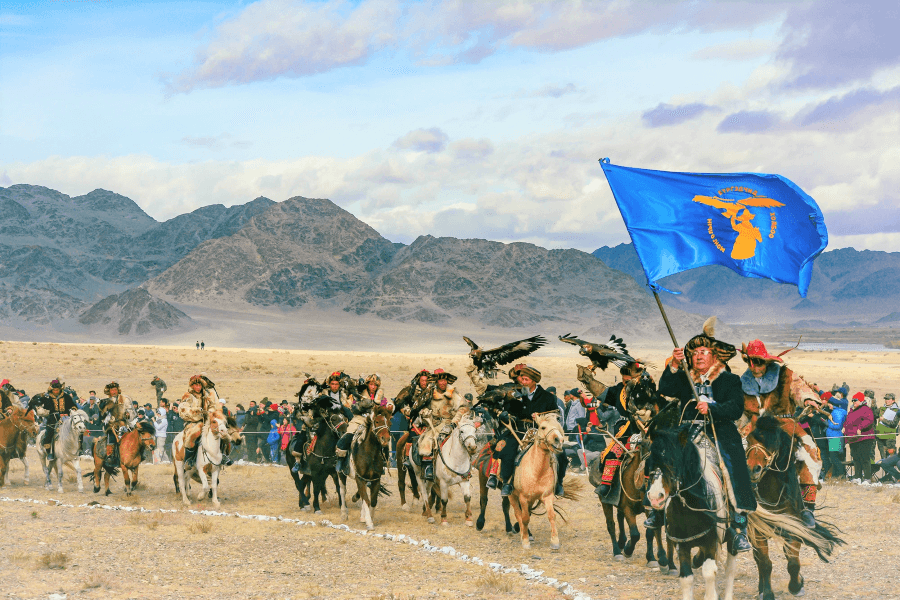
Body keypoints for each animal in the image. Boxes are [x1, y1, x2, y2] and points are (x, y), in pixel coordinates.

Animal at [744, 414, 844, 600]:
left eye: (773, 441)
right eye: (748, 439)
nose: (753, 469)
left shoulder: (794, 528)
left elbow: (793, 563)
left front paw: (797, 586)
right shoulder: (757, 531)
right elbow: (764, 562)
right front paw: (767, 593)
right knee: (758, 559)